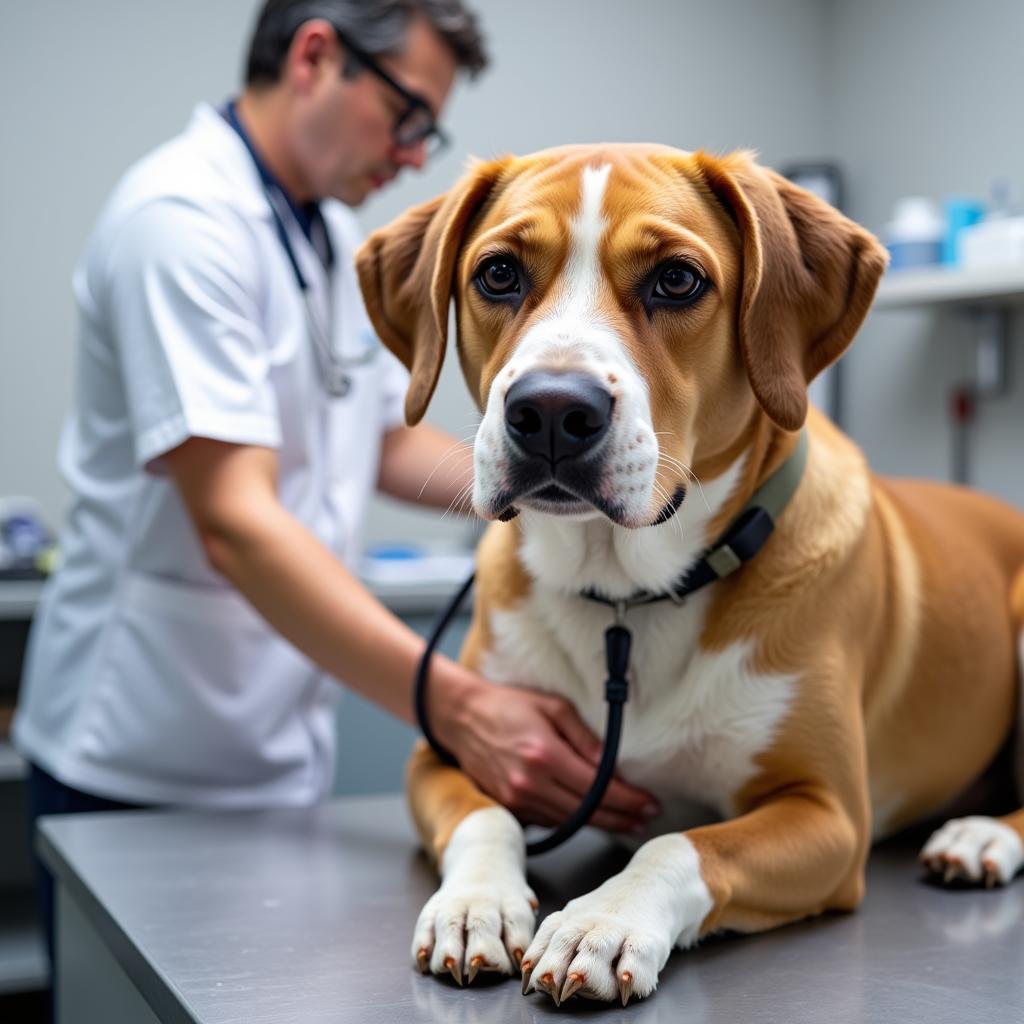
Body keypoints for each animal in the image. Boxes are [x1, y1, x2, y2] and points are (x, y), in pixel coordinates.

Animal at [352, 144, 1024, 999]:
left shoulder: (831, 813)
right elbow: (486, 816)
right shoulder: (447, 750)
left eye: (677, 280)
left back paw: (982, 839)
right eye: (498, 274)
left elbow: (683, 843)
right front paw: (476, 905)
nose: (550, 411)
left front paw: (603, 921)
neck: (627, 599)